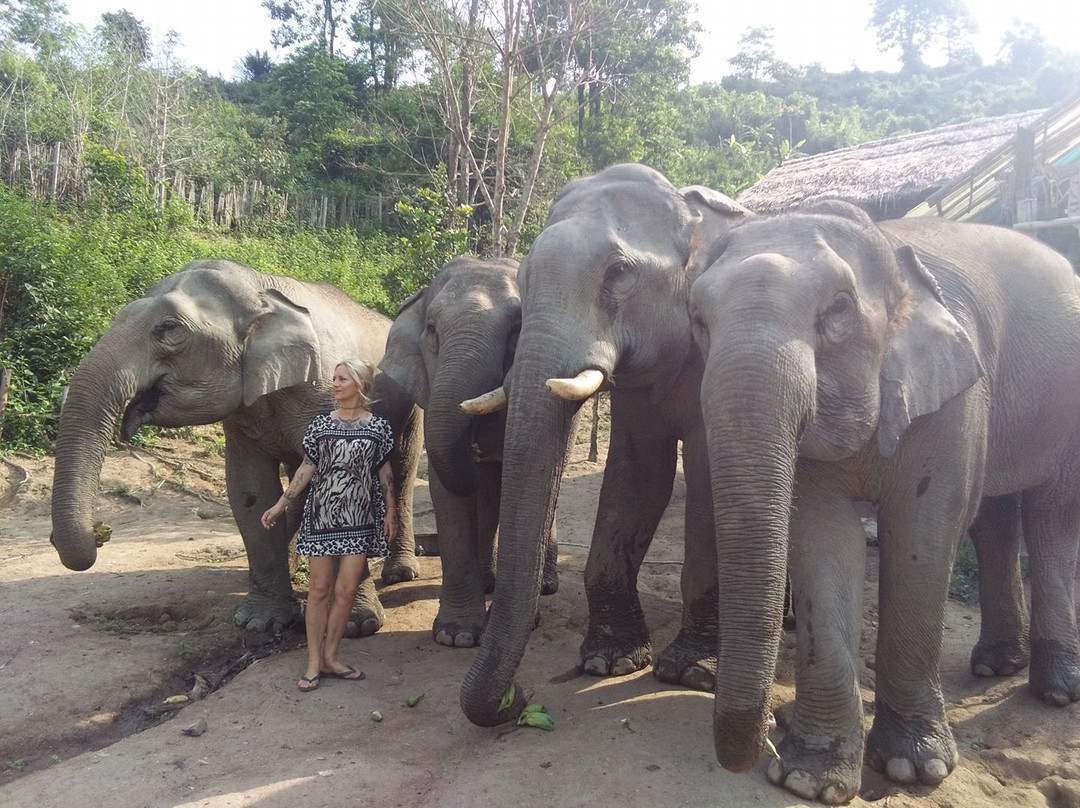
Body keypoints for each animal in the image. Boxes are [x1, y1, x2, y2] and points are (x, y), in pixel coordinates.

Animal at [50, 259, 423, 630]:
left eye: (168, 328)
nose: (100, 534)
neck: (260, 289)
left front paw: (357, 625)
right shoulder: (244, 417)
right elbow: (249, 489)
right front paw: (260, 621)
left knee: (402, 470)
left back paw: (400, 573)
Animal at [378, 256, 561, 648]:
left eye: (517, 328)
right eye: (432, 329)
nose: (475, 447)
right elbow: (447, 489)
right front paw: (456, 636)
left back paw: (547, 585)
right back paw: (489, 581)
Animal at [455, 159, 751, 725]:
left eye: (618, 273)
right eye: (523, 278)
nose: (518, 699)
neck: (694, 213)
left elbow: (709, 485)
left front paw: (692, 673)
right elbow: (636, 478)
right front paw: (606, 662)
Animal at [686, 202, 1080, 803]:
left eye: (837, 310)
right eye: (698, 320)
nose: (768, 728)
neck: (889, 247)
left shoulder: (955, 393)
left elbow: (923, 529)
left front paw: (913, 768)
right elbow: (822, 534)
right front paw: (808, 778)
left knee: (1051, 515)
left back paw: (1055, 690)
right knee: (994, 517)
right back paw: (997, 665)